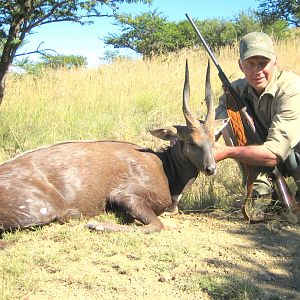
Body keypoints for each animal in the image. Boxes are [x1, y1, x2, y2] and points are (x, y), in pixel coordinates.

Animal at [0, 59, 220, 236]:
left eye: (214, 141)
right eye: (191, 142)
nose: (211, 168)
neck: (165, 167)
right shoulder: (124, 195)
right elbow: (157, 225)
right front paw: (96, 225)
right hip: (42, 209)